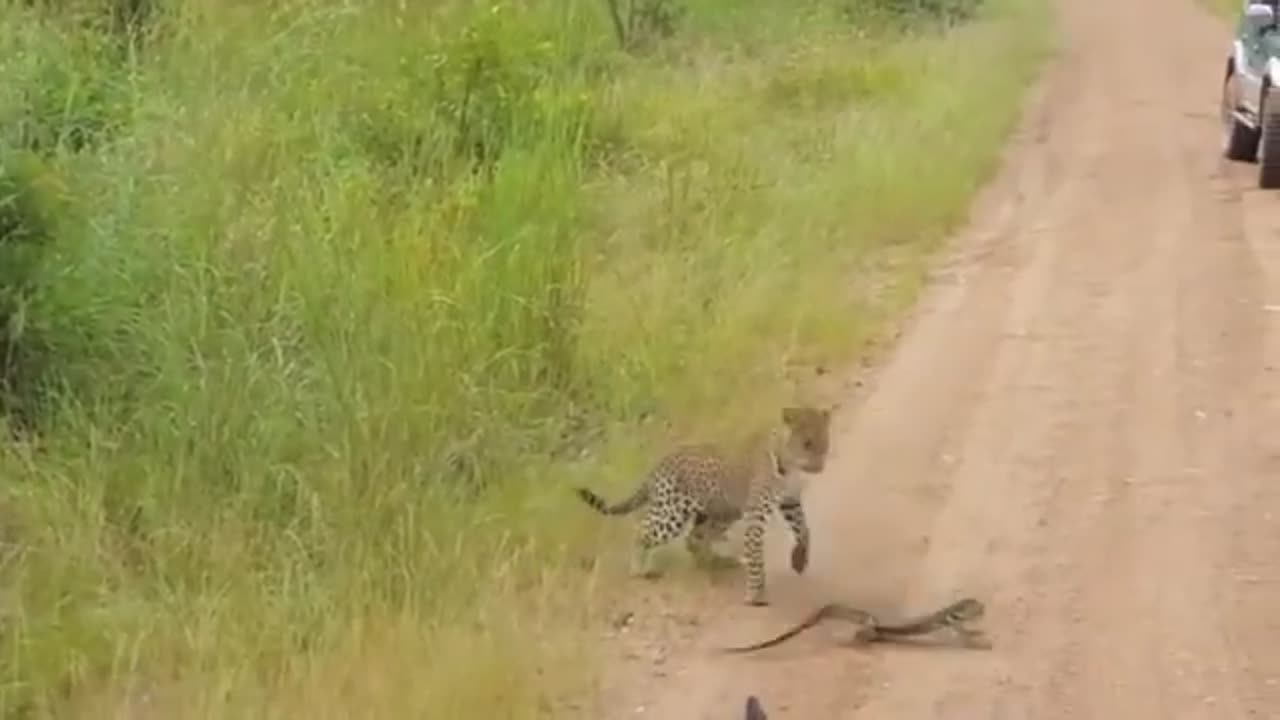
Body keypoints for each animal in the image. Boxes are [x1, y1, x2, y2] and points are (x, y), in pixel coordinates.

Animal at [573, 404, 829, 604]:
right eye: (807, 444)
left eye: (824, 443)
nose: (819, 466)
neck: (790, 467)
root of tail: (659, 466)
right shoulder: (757, 513)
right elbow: (756, 553)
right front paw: (755, 594)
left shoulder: (790, 502)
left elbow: (805, 530)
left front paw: (799, 560)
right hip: (672, 514)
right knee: (643, 532)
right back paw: (638, 571)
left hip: (721, 511)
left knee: (694, 538)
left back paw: (717, 563)